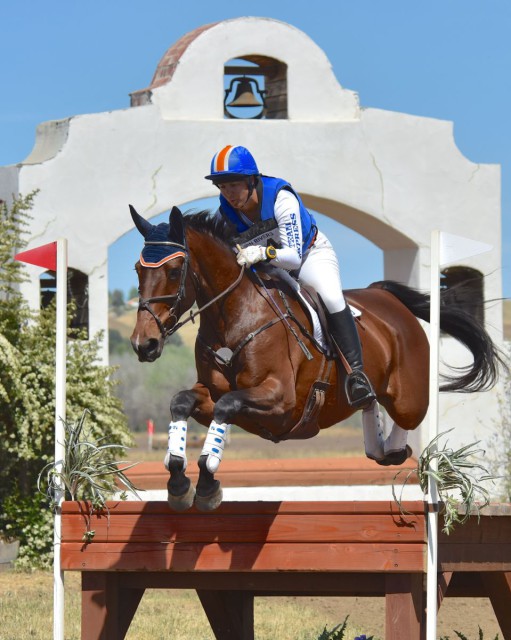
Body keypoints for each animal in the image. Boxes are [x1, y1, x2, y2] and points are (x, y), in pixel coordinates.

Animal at [130, 202, 502, 512]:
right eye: (137, 270)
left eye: (175, 271)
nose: (142, 344)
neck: (234, 315)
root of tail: (386, 297)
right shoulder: (214, 394)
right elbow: (182, 401)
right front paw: (178, 481)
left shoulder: (280, 400)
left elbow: (226, 406)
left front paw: (207, 483)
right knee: (371, 409)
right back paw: (378, 443)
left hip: (408, 396)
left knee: (407, 419)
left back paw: (397, 451)